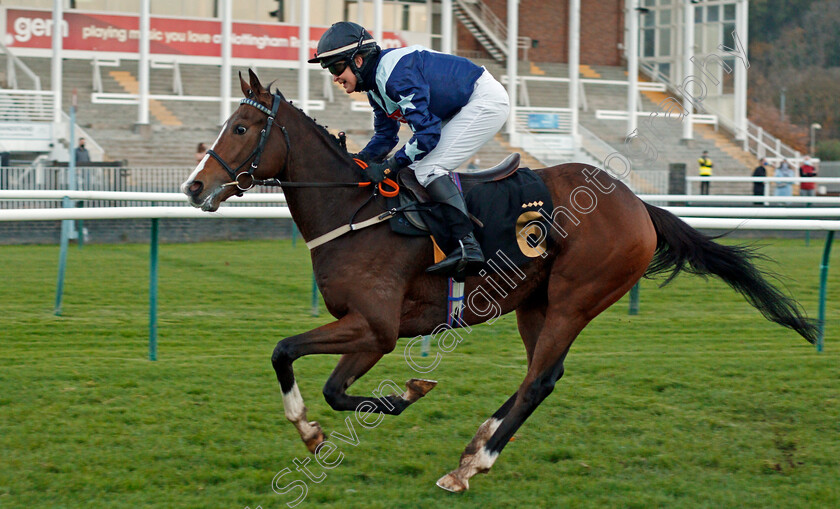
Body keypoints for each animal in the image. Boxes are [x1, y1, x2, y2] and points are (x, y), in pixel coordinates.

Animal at [180, 69, 816, 490]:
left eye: (242, 128)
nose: (192, 186)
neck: (355, 211)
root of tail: (638, 205)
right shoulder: (370, 330)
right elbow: (327, 384)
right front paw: (323, 425)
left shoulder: (376, 326)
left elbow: (288, 352)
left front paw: (363, 409)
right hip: (535, 303)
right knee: (543, 374)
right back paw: (473, 448)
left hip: (575, 300)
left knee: (540, 380)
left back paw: (476, 464)